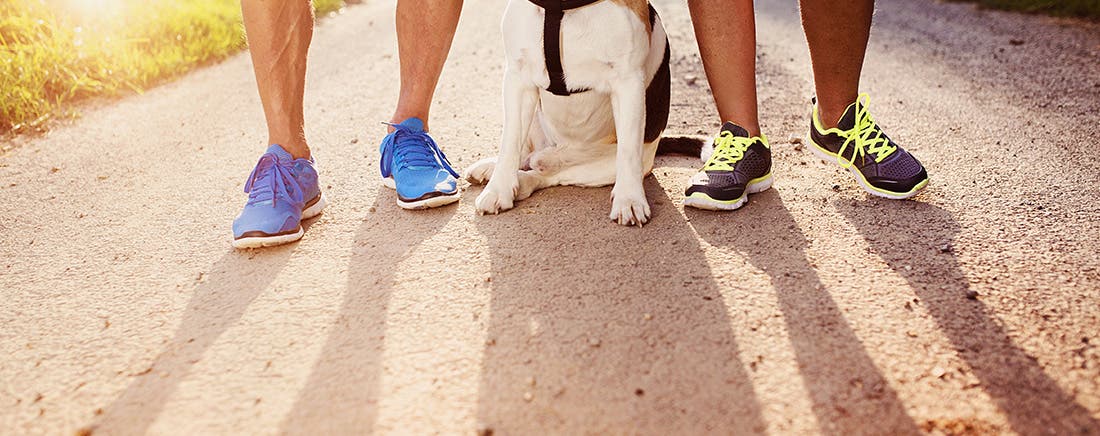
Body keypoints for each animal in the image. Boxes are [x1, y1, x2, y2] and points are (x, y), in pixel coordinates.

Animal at [464, 0, 668, 226]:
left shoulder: (628, 81)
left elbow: (628, 151)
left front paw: (630, 200)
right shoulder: (518, 78)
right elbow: (510, 143)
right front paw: (498, 189)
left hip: (607, 166)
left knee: (549, 175)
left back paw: (529, 176)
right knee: (524, 153)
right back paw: (491, 168)